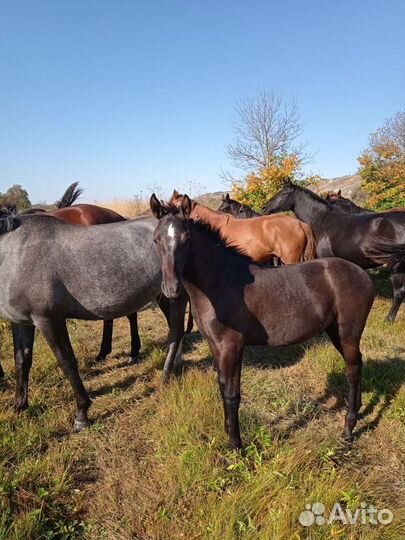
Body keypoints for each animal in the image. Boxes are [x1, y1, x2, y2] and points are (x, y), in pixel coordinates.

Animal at [0, 212, 186, 430]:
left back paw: (167, 376)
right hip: (164, 295)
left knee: (176, 331)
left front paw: (82, 413)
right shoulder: (21, 322)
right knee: (175, 331)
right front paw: (19, 406)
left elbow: (67, 362)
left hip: (175, 295)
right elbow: (22, 361)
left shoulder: (49, 319)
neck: (15, 255)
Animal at [262, 179, 404, 320]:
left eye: (283, 192)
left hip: (396, 265)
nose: (264, 207)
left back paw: (389, 319)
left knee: (398, 294)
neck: (323, 221)